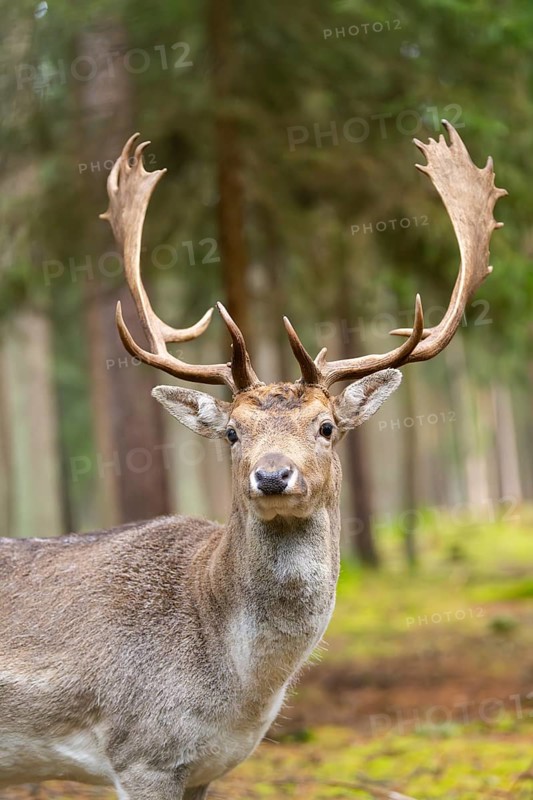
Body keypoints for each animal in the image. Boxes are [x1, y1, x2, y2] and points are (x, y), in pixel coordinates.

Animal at [0, 121, 506, 799]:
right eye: (233, 433)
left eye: (326, 426)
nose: (272, 475)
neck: (237, 689)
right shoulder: (140, 753)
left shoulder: (202, 769)